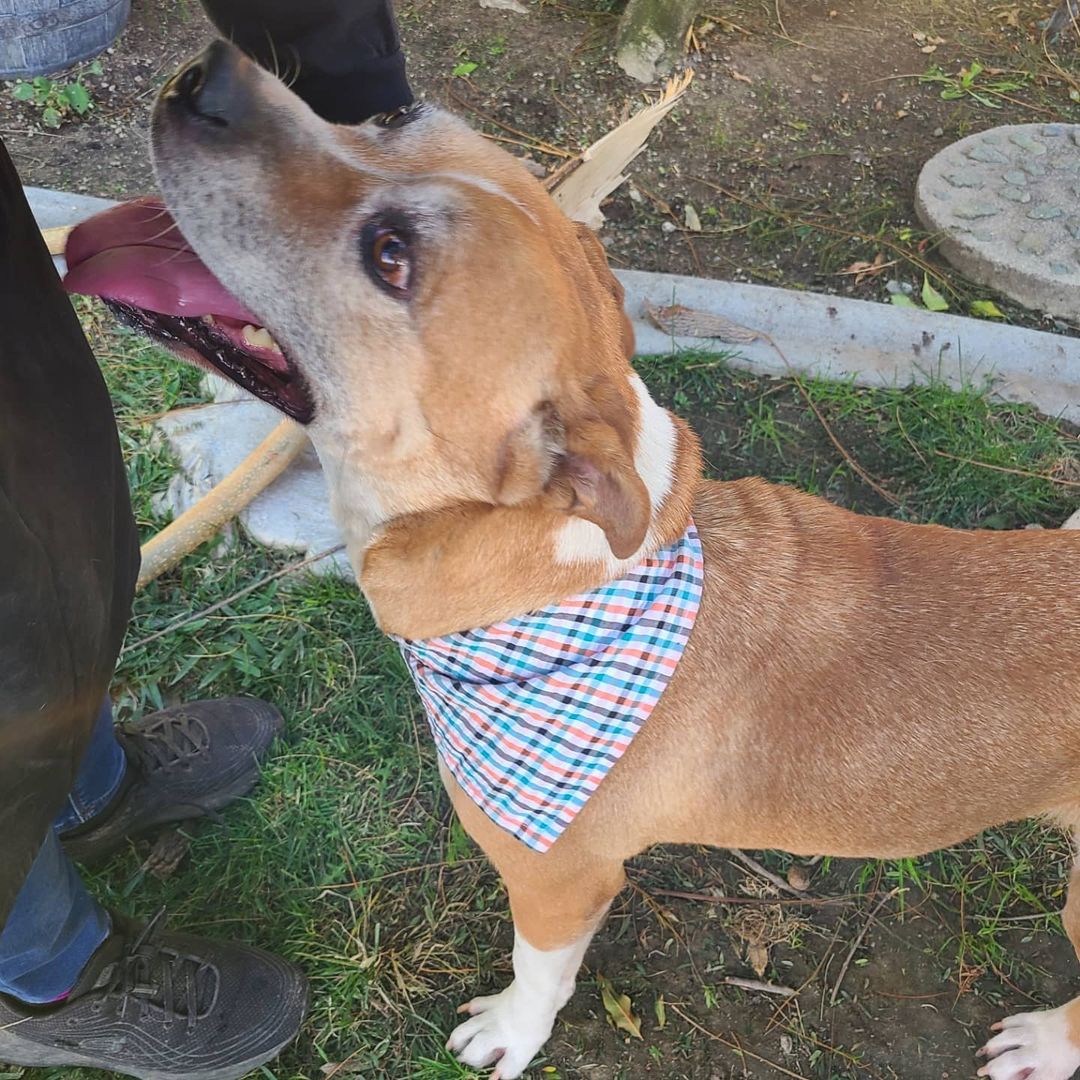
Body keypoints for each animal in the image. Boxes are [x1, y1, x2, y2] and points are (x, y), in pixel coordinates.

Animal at [71, 44, 1080, 1080]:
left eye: (391, 257)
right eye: (392, 115)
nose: (206, 75)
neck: (551, 562)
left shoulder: (559, 876)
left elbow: (539, 971)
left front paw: (511, 1034)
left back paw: (1043, 1042)